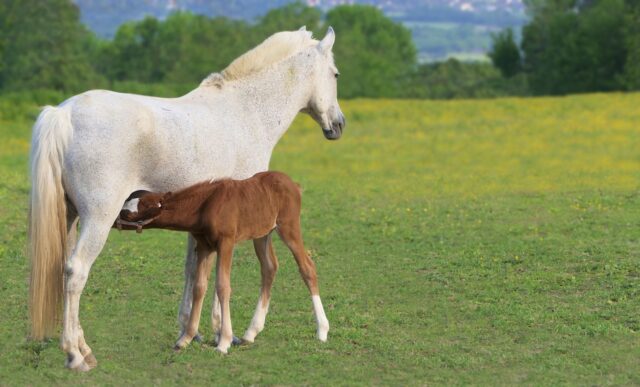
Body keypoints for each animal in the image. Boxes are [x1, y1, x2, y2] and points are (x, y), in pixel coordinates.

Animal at [116, 171, 330, 354]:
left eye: (129, 213)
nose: (115, 221)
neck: (205, 205)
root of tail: (293, 184)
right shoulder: (205, 246)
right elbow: (199, 286)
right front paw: (185, 339)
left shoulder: (226, 242)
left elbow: (222, 286)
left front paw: (224, 342)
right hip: (262, 233)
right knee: (269, 268)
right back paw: (251, 333)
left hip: (288, 227)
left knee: (307, 267)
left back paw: (322, 330)